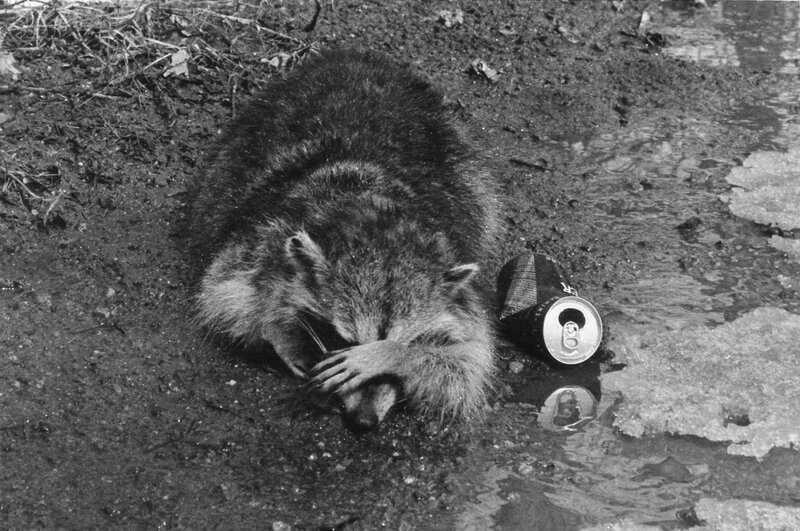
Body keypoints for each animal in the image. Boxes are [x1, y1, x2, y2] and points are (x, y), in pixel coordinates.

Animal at [188, 48, 500, 431]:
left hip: (469, 168)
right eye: (343, 339)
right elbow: (228, 294)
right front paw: (277, 329)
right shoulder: (264, 235)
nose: (363, 423)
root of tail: (359, 55)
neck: (376, 219)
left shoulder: (463, 300)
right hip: (237, 149)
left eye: (411, 339)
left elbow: (464, 366)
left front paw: (396, 354)